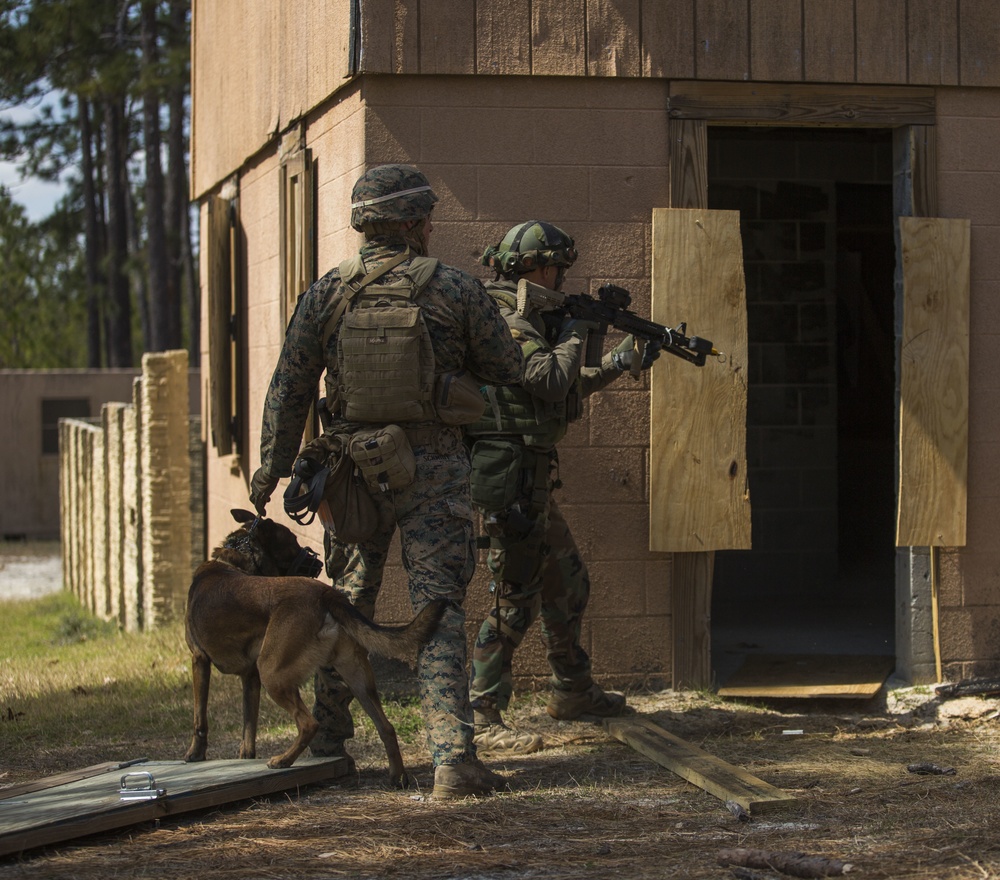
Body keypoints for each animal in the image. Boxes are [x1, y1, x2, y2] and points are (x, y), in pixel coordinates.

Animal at [184, 506, 442, 788]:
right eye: (293, 541)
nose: (318, 564)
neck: (234, 561)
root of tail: (325, 593)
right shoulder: (250, 677)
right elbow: (248, 726)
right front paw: (245, 757)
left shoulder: (200, 660)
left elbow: (199, 717)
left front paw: (195, 754)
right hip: (357, 678)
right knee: (386, 727)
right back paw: (398, 777)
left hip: (272, 673)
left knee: (309, 723)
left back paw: (283, 760)